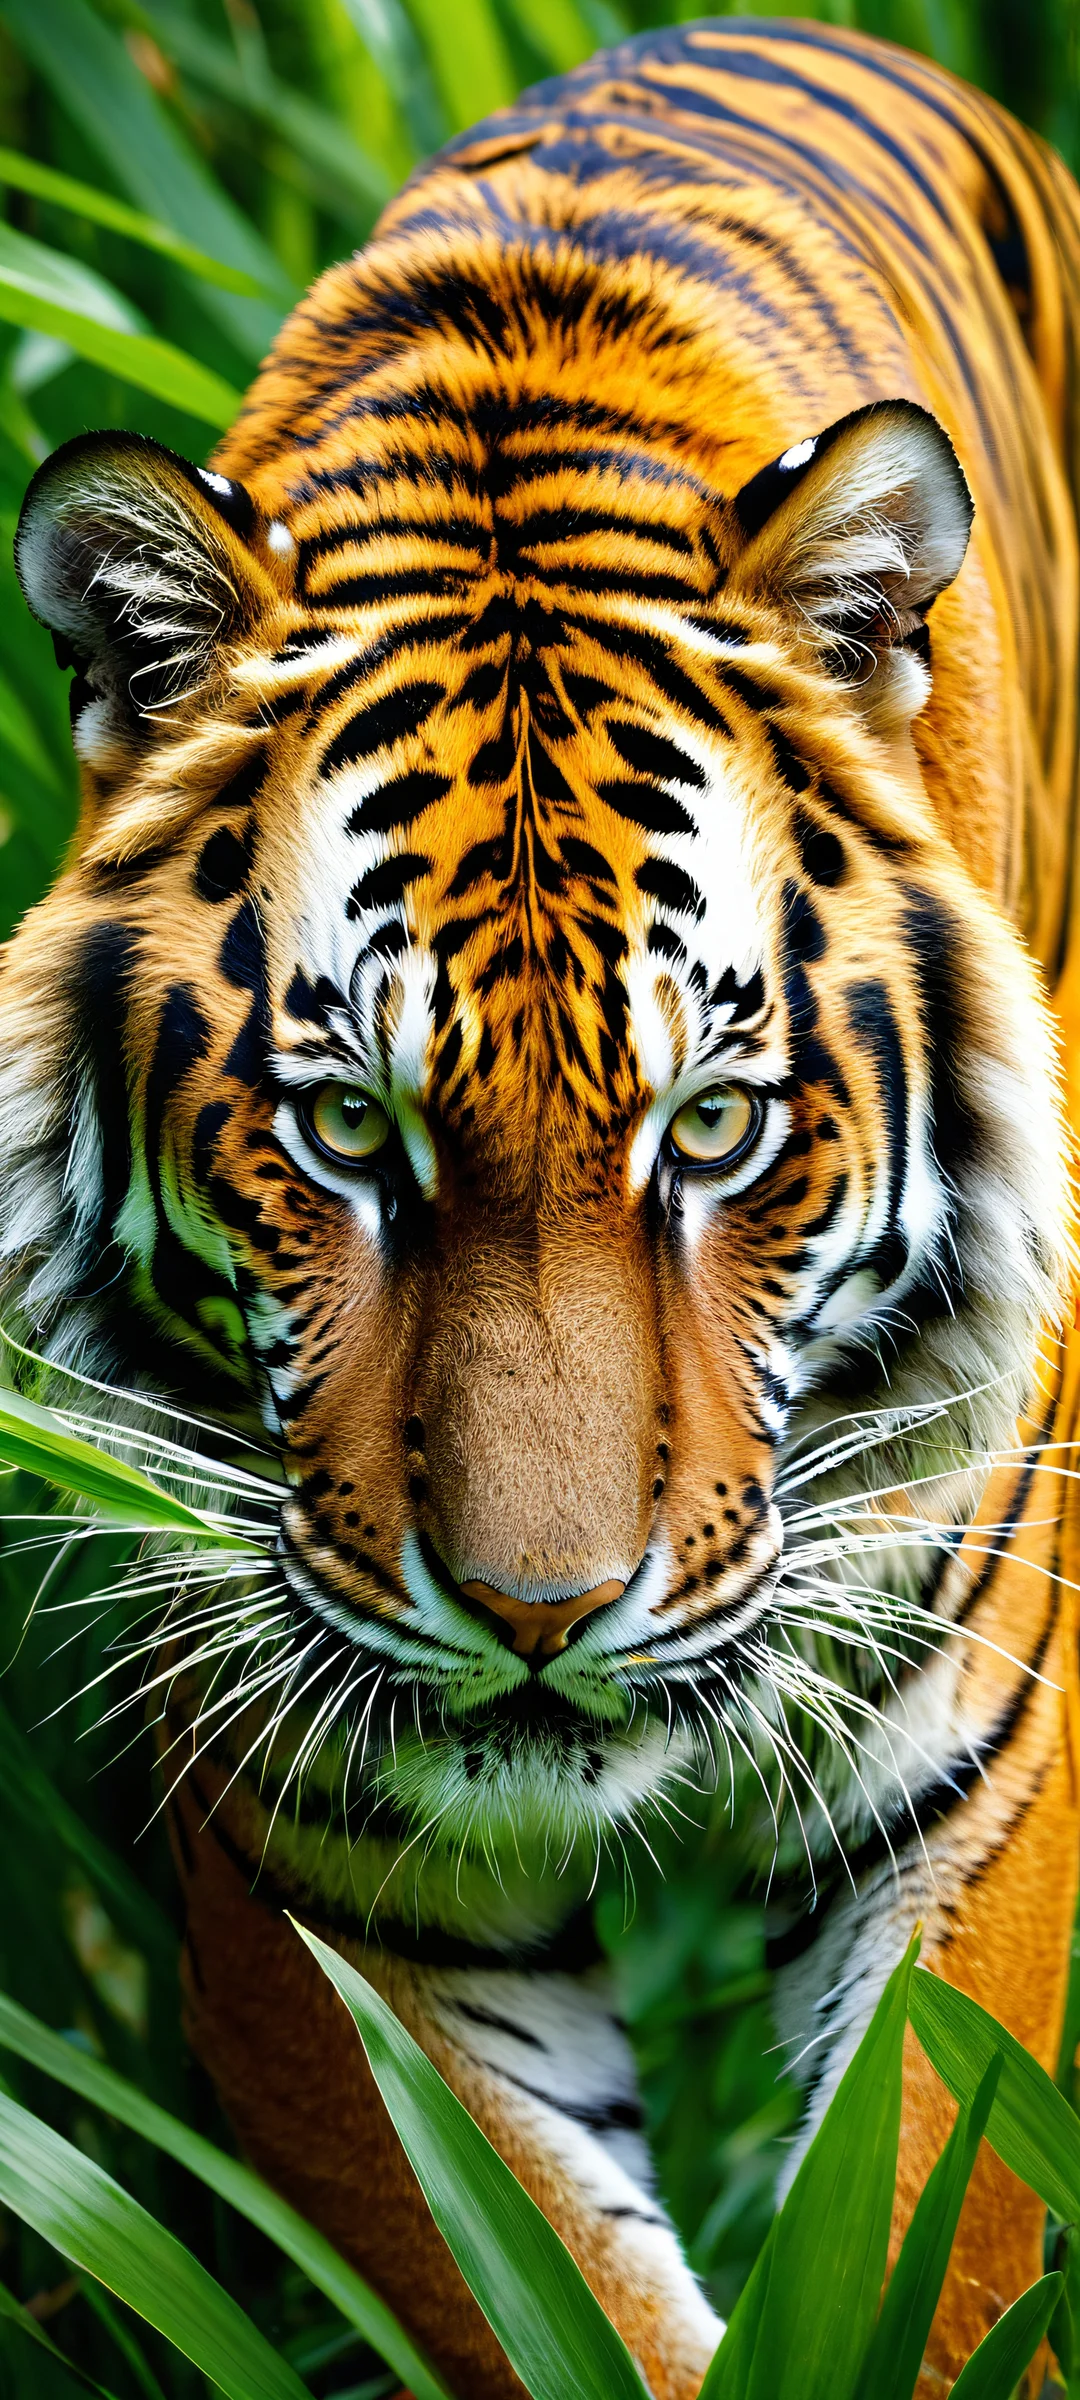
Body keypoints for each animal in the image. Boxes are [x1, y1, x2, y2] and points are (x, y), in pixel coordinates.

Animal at [4, 14, 1080, 2396]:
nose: (535, 1617)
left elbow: (946, 2254)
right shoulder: (330, 1894)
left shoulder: (995, 1795)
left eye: (715, 1130)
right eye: (346, 1133)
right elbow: (542, 2302)